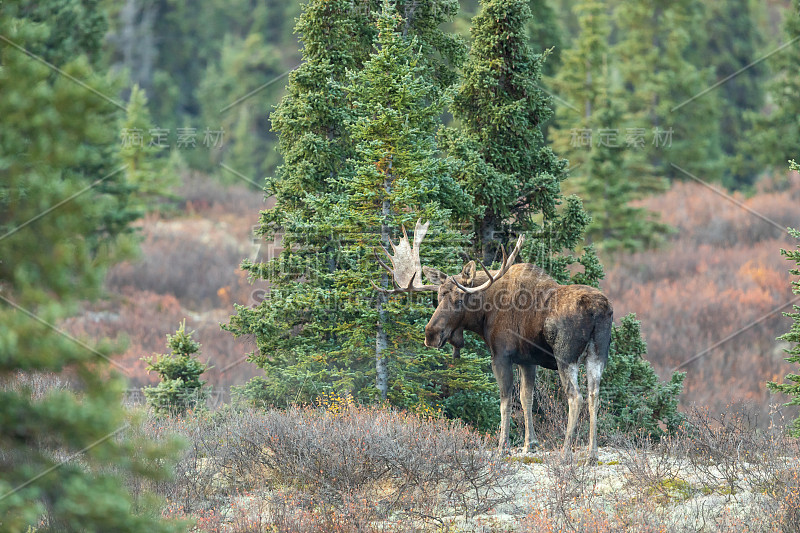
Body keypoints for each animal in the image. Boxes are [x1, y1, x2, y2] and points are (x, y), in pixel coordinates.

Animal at [374, 218, 612, 460]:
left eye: (459, 299)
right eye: (439, 296)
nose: (431, 334)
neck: (484, 314)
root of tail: (598, 309)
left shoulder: (501, 356)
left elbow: (505, 401)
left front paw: (502, 446)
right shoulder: (527, 361)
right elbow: (526, 398)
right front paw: (530, 444)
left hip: (565, 355)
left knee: (575, 397)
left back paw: (566, 451)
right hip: (598, 354)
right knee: (594, 395)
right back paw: (592, 453)